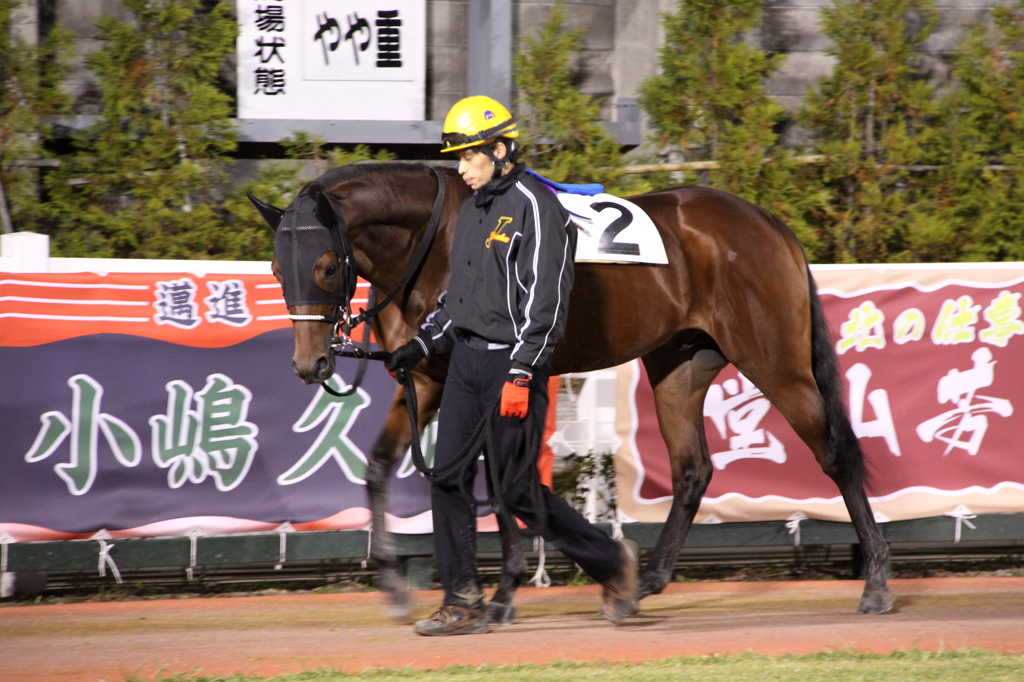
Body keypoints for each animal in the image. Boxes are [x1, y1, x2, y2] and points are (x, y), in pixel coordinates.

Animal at [249, 161, 897, 618]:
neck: (435, 241)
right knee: (692, 469)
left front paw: (500, 593)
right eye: (278, 269)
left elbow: (498, 481)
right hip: (679, 364)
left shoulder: (475, 379)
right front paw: (394, 581)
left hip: (775, 361)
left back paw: (876, 581)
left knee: (836, 453)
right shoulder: (427, 376)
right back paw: (643, 582)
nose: (309, 363)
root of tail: (767, 222)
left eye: (326, 265)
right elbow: (383, 465)